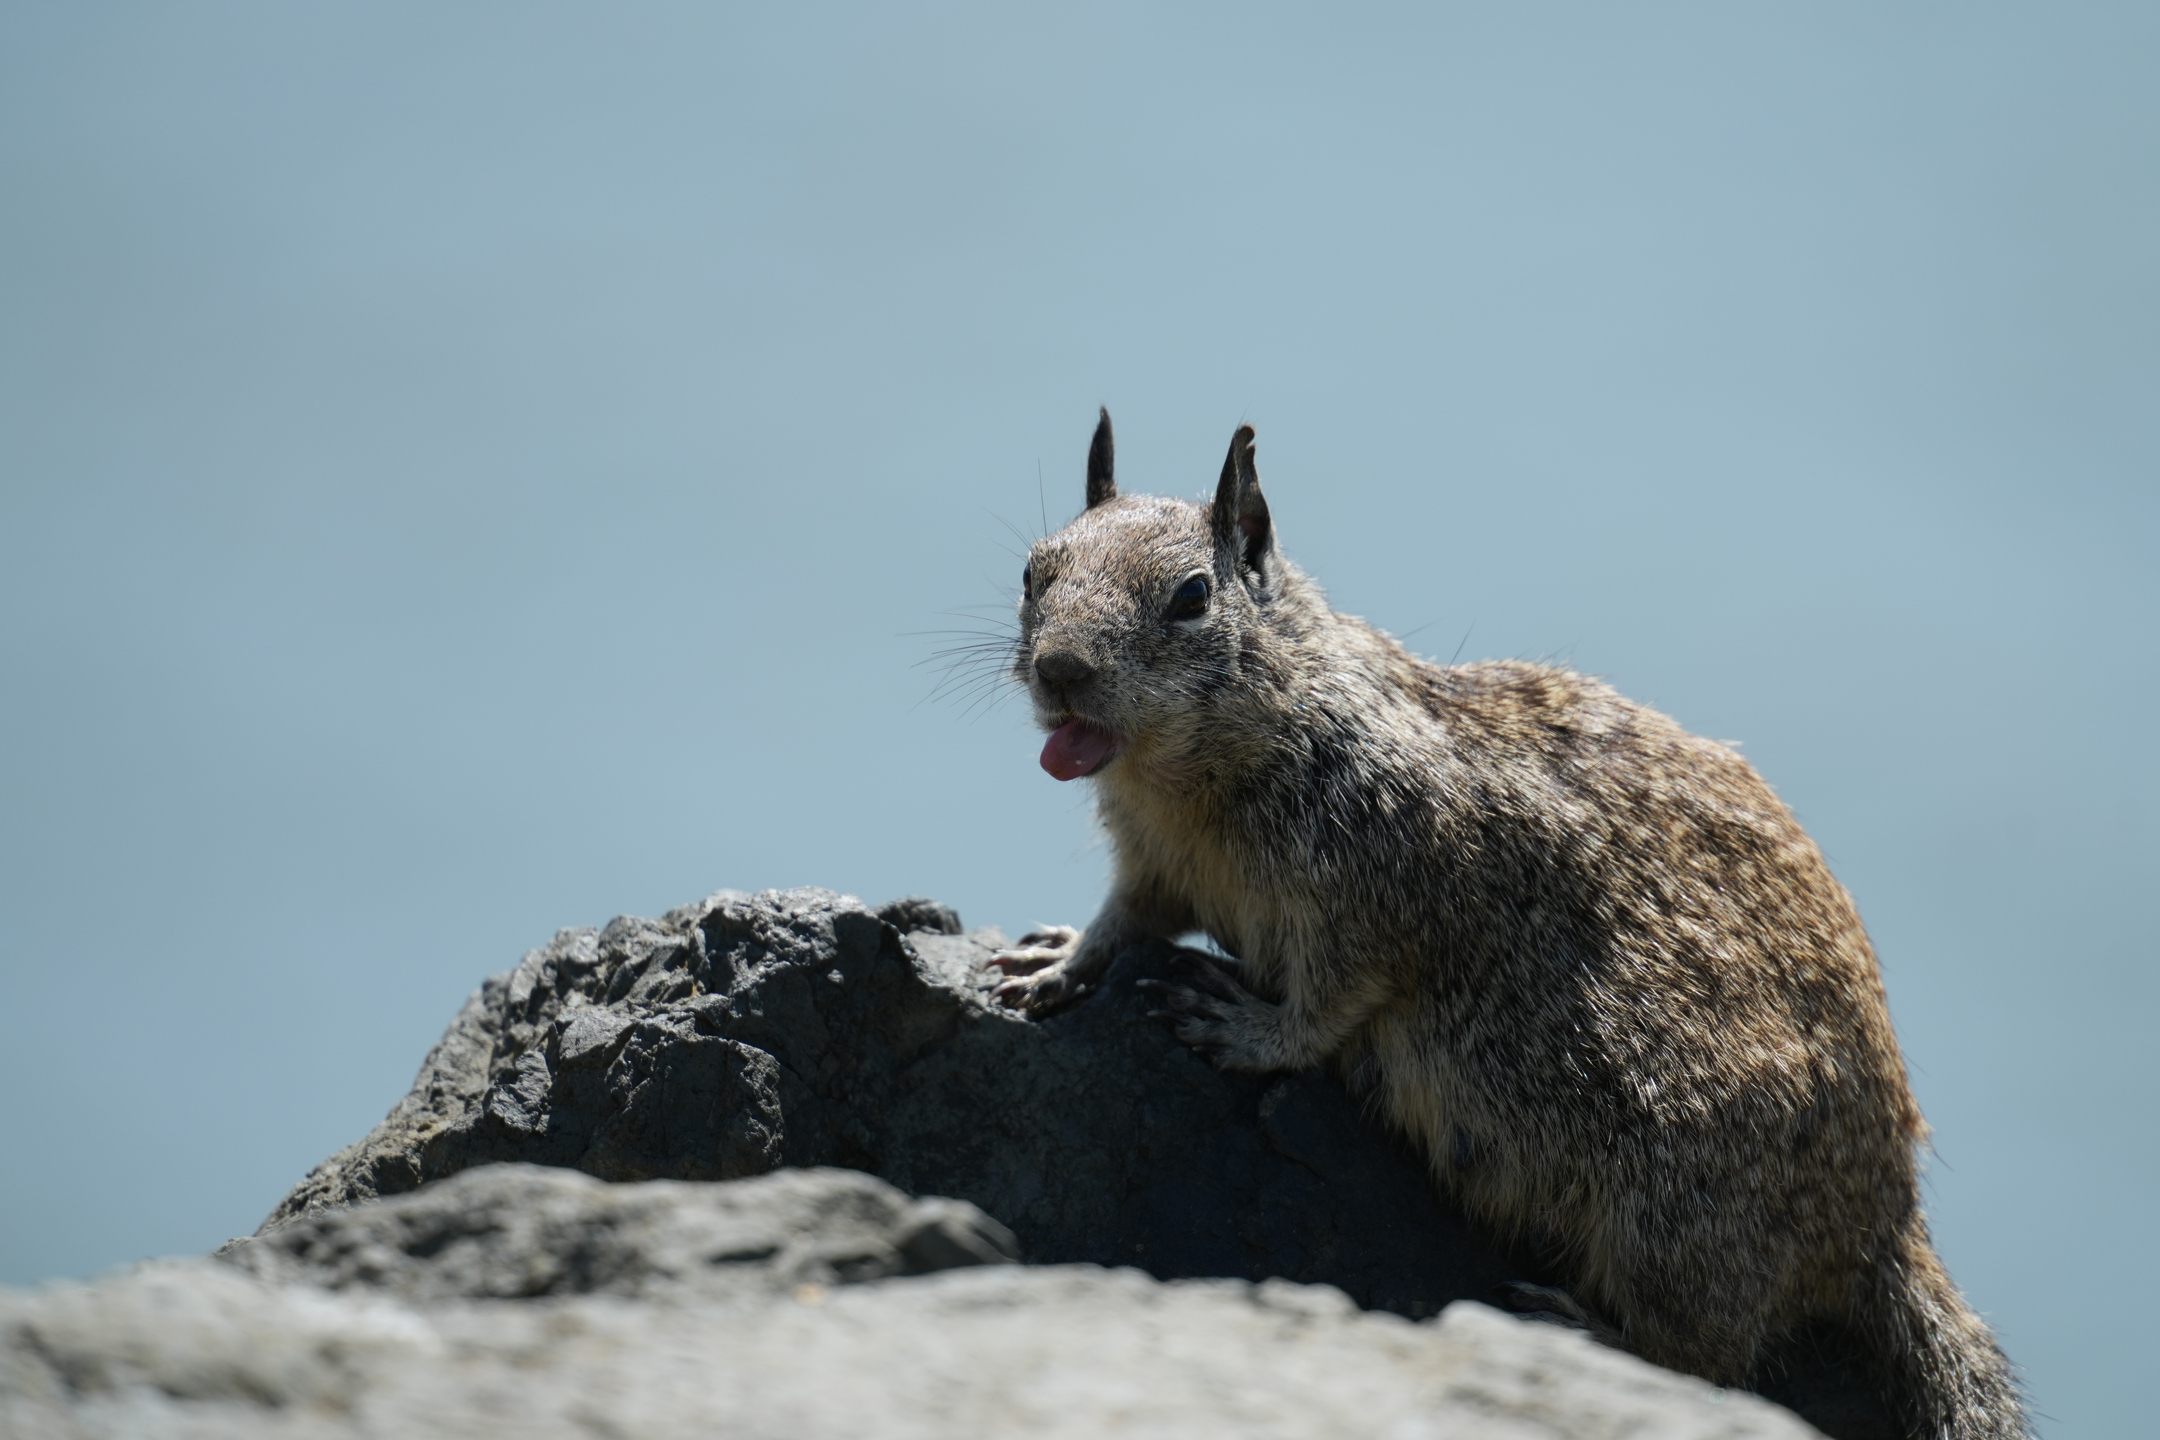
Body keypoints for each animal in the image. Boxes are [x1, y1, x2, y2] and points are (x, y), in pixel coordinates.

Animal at [985, 409, 2025, 1440]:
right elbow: (1125, 919)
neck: (1189, 778)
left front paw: (1242, 1028)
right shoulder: (1155, 865)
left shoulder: (1376, 896)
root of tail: (1885, 1223)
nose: (1060, 670)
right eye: (1032, 573)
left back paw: (1584, 1328)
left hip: (1669, 1210)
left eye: (1193, 596)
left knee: (1710, 1357)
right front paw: (1056, 961)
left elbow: (1326, 1008)